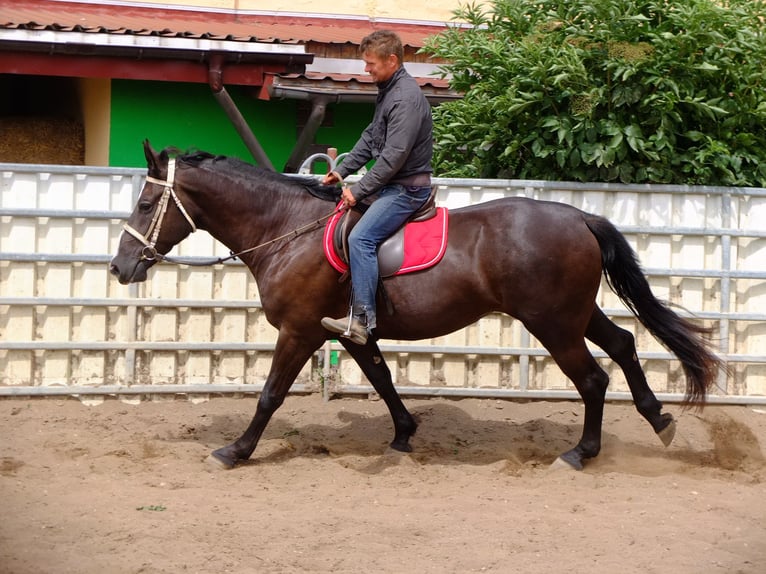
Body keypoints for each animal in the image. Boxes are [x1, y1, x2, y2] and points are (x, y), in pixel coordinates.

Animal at [111, 143, 724, 472]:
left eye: (145, 203)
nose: (120, 267)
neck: (288, 229)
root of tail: (579, 217)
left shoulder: (301, 331)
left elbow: (269, 396)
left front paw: (235, 450)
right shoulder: (350, 332)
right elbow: (382, 379)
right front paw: (405, 435)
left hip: (553, 323)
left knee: (593, 378)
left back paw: (581, 453)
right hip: (573, 315)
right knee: (623, 345)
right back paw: (659, 420)